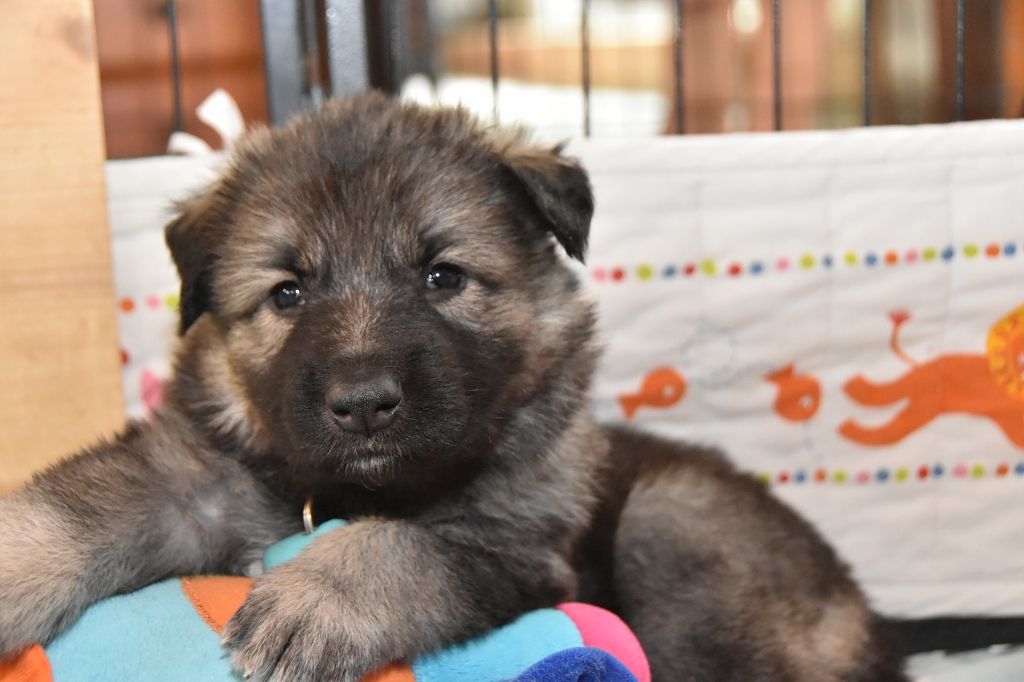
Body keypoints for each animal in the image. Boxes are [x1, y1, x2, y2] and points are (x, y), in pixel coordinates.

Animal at [0, 94, 905, 681]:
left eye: (443, 277)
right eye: (287, 294)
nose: (364, 403)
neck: (342, 493)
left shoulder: (509, 548)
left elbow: (400, 546)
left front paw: (317, 598)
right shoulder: (197, 480)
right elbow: (89, 501)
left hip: (672, 520)